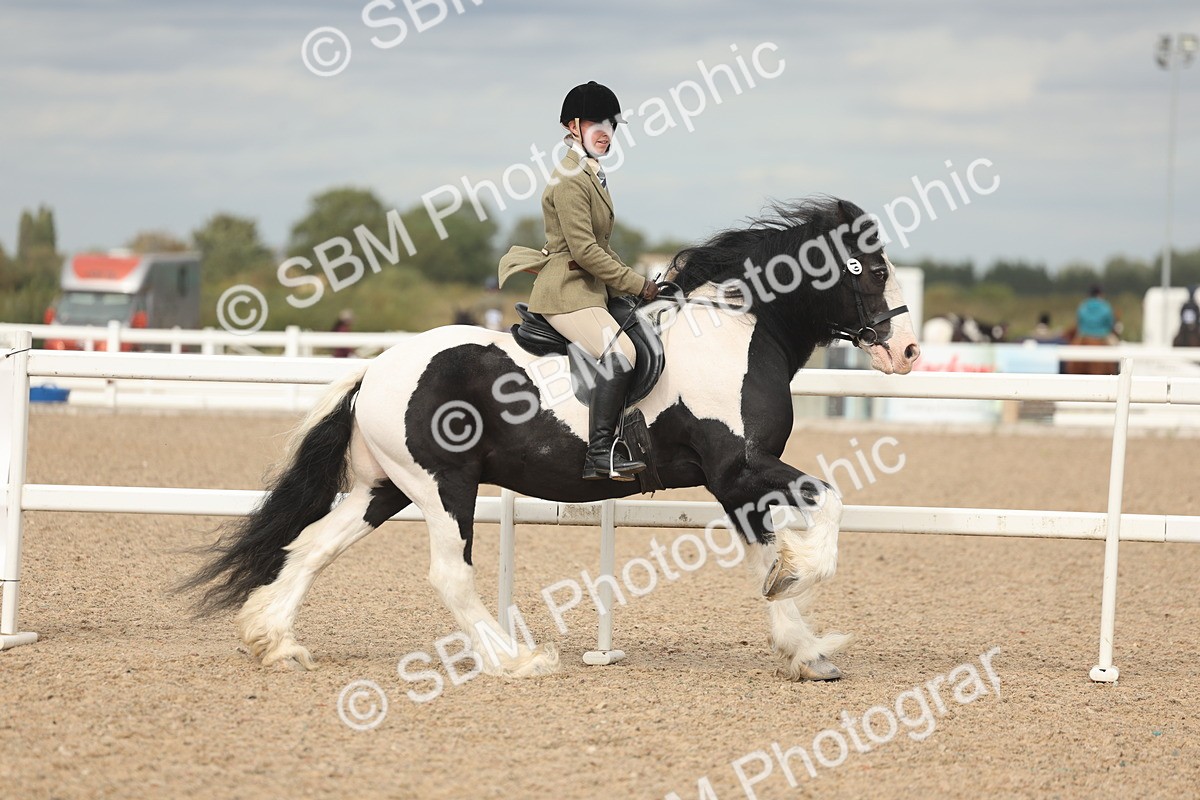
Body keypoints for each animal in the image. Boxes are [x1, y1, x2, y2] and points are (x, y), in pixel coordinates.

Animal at [179, 196, 921, 682]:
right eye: (872, 269)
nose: (908, 351)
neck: (738, 332)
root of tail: (376, 369)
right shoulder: (736, 466)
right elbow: (827, 501)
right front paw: (798, 583)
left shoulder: (735, 482)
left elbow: (762, 550)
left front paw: (802, 646)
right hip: (443, 485)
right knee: (450, 573)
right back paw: (514, 660)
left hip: (383, 487)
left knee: (311, 547)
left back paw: (273, 642)